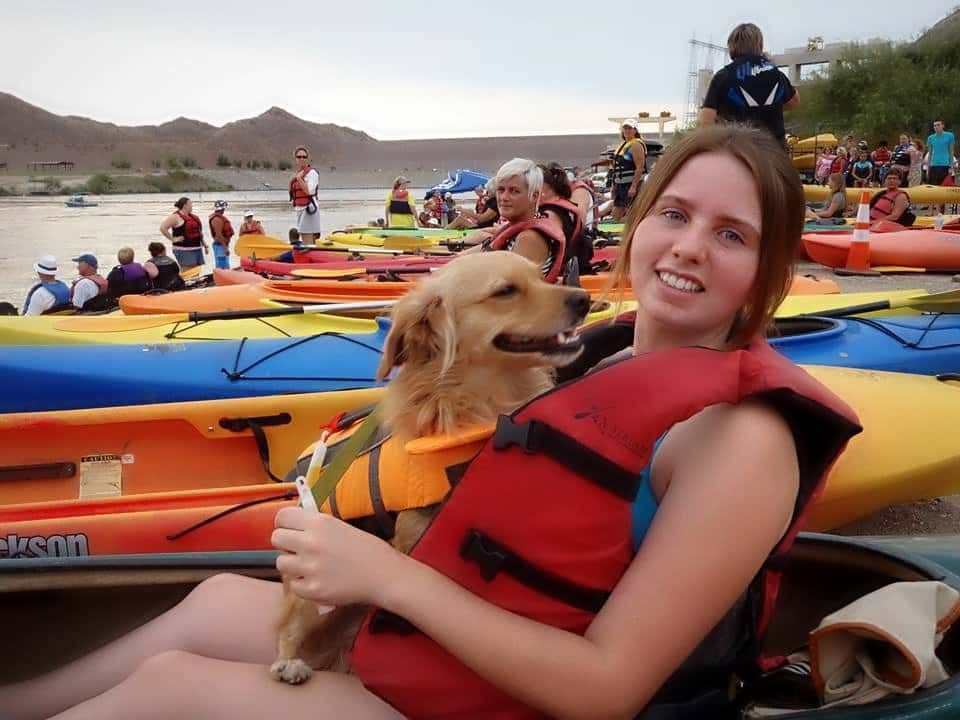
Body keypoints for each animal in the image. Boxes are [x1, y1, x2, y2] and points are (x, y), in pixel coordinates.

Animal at [266, 250, 588, 684]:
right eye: (505, 291)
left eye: (542, 277)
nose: (584, 299)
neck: (486, 404)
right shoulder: (413, 536)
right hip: (304, 592)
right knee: (289, 628)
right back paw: (289, 662)